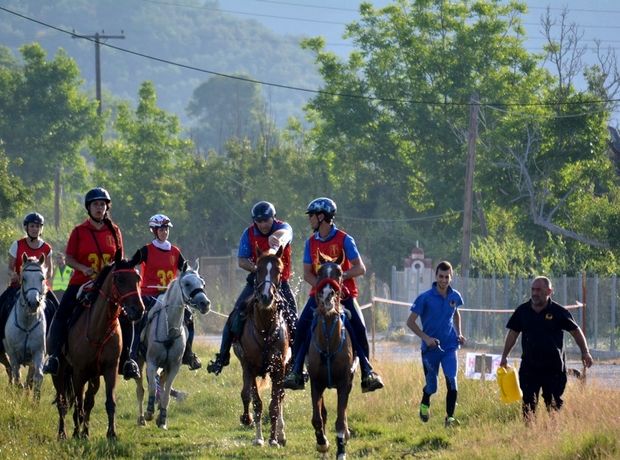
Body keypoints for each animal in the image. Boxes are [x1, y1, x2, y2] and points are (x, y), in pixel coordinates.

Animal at [2, 255, 47, 398]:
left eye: (42, 278)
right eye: (24, 278)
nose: (33, 303)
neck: (27, 322)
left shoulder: (38, 352)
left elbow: (38, 377)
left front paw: (35, 400)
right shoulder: (13, 354)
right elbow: (17, 376)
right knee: (10, 371)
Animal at [50, 250, 144, 440]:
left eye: (138, 278)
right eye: (119, 279)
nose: (138, 310)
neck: (98, 328)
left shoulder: (110, 369)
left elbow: (109, 402)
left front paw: (111, 434)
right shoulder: (79, 372)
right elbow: (77, 403)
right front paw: (76, 433)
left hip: (94, 376)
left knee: (88, 401)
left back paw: (85, 431)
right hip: (61, 373)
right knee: (63, 402)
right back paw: (64, 433)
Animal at [136, 260, 211, 430]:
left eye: (203, 283)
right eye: (187, 283)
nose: (205, 303)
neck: (169, 328)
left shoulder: (173, 366)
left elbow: (166, 391)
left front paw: (162, 419)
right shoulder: (152, 362)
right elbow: (152, 386)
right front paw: (150, 412)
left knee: (162, 384)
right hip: (139, 361)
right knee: (140, 389)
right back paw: (142, 418)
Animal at [232, 248, 290, 446]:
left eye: (279, 270)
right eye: (258, 270)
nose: (266, 297)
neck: (265, 328)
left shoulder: (278, 368)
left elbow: (274, 404)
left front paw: (273, 439)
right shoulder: (249, 367)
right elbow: (256, 402)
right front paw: (259, 438)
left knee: (280, 397)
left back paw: (281, 434)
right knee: (245, 394)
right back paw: (246, 418)